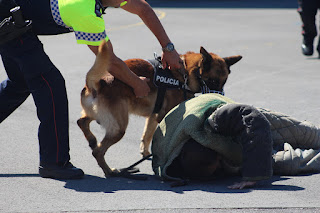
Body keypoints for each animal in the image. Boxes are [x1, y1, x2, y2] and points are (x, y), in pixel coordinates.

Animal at [77, 40, 242, 177]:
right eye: (212, 81)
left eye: (224, 82)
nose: (220, 97)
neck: (185, 73)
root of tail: (98, 83)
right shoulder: (163, 116)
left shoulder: (153, 117)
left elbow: (147, 136)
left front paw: (147, 154)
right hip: (119, 128)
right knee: (98, 152)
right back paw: (110, 171)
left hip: (100, 117)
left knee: (81, 121)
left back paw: (92, 139)